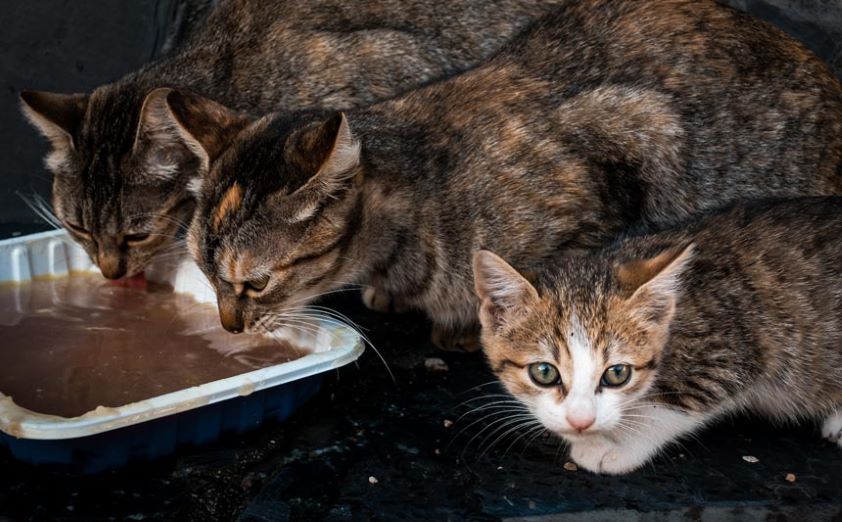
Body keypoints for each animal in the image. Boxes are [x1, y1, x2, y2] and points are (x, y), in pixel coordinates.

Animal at [470, 195, 840, 472]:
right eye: (544, 372)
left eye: (617, 373)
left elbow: (667, 409)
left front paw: (615, 444)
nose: (581, 421)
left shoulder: (733, 345)